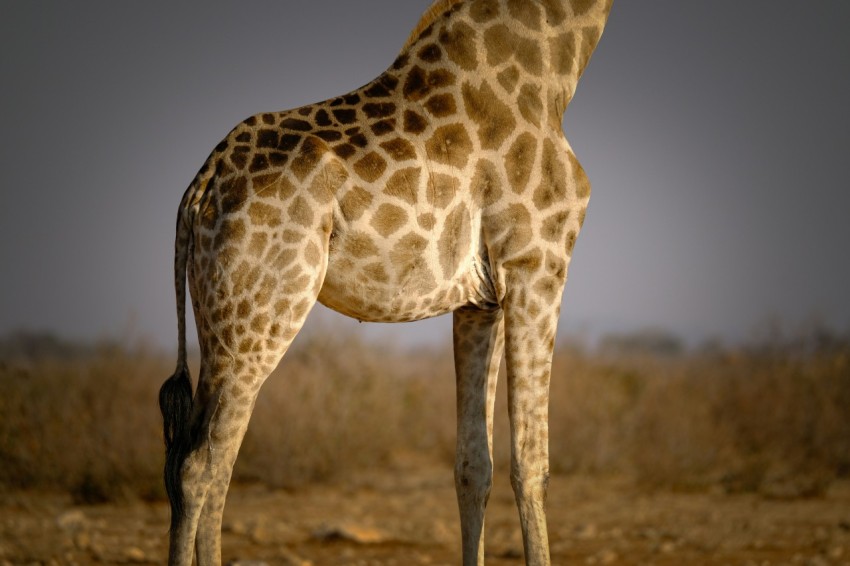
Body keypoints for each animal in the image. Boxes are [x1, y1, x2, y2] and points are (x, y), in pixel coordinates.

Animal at [159, 0, 612, 564]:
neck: (556, 68)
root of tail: (198, 188)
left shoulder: (481, 299)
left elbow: (473, 466)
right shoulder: (538, 262)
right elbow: (532, 466)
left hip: (217, 320)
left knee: (202, 462)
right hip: (261, 314)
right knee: (199, 466)